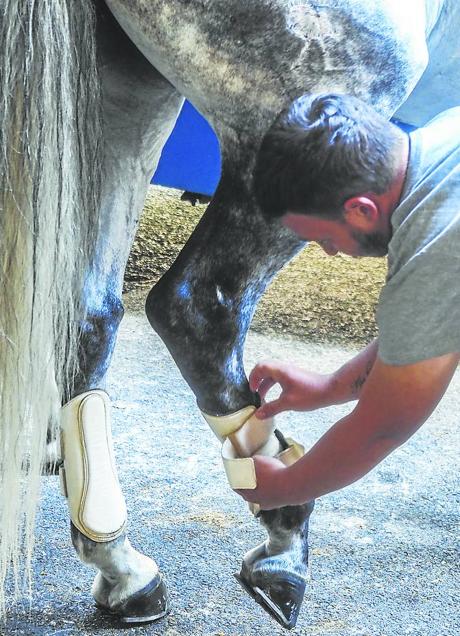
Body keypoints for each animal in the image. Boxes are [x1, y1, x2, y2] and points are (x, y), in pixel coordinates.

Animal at [0, 0, 458, 628]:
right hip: (314, 95)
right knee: (199, 306)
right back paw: (283, 534)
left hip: (123, 87)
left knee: (89, 310)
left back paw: (122, 566)